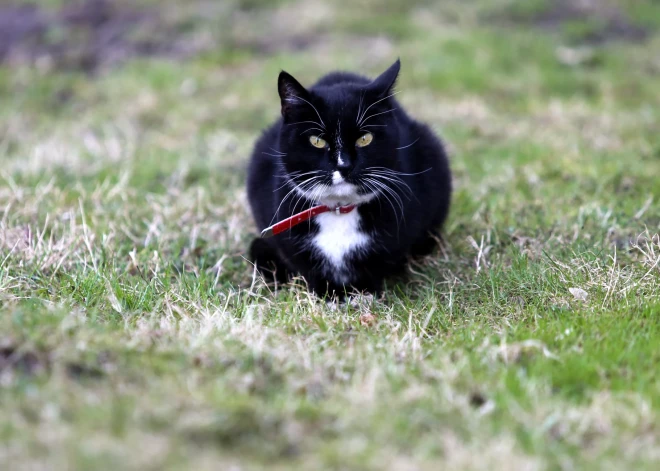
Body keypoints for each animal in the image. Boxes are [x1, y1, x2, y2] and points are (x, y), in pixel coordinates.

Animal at [248, 59, 454, 298]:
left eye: (365, 139)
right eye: (317, 141)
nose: (344, 165)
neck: (340, 210)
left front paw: (362, 294)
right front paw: (328, 294)